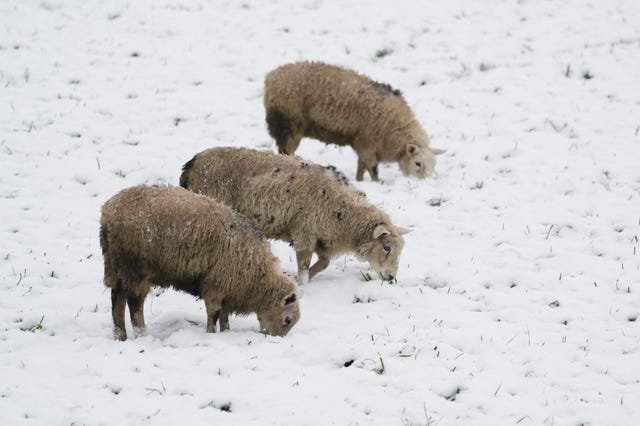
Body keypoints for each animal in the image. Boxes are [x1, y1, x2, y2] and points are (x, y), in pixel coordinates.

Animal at [99, 185, 300, 342]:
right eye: (287, 320)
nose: (273, 339)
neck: (258, 277)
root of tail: (107, 212)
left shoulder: (228, 288)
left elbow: (224, 316)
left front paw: (226, 332)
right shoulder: (216, 285)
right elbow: (214, 314)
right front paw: (211, 334)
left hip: (115, 265)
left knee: (117, 300)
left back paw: (120, 336)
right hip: (135, 267)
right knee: (134, 304)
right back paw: (142, 335)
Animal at [180, 148, 410, 284]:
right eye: (387, 247)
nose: (391, 277)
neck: (344, 214)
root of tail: (192, 164)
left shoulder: (322, 238)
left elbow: (324, 263)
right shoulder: (304, 233)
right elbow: (304, 265)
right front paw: (301, 283)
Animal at [262, 60, 444, 181]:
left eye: (434, 165)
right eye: (418, 163)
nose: (424, 183)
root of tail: (271, 78)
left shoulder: (362, 145)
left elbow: (361, 167)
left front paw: (359, 181)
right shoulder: (368, 144)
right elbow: (372, 169)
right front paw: (377, 183)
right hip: (290, 123)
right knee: (287, 150)